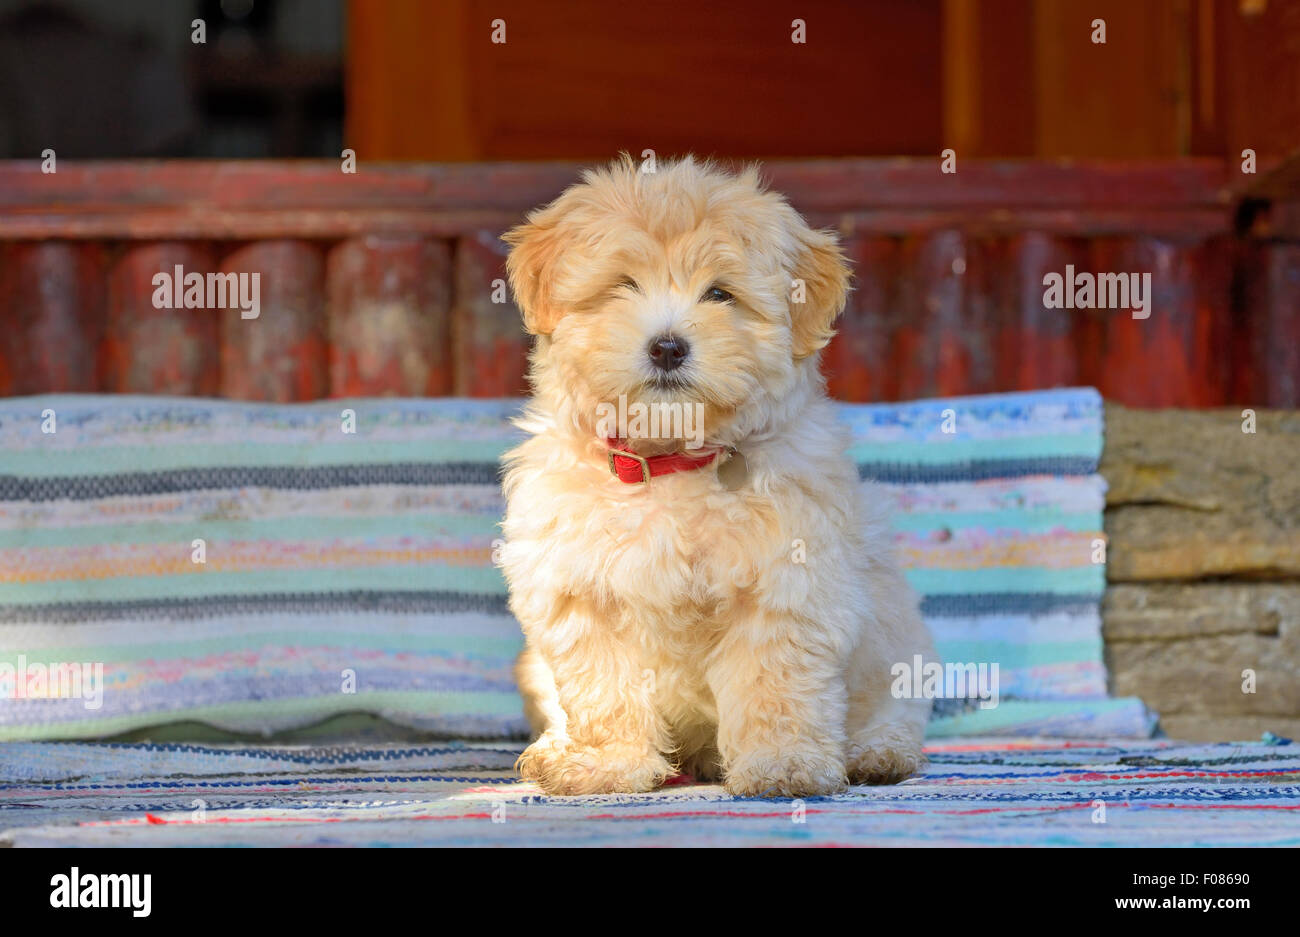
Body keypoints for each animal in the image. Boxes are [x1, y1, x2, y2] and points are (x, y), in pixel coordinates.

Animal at [496, 155, 935, 795]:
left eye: (721, 294)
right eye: (622, 285)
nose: (667, 346)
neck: (669, 461)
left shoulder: (785, 585)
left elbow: (775, 683)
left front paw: (783, 763)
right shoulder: (579, 592)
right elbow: (603, 689)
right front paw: (607, 765)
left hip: (894, 639)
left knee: (894, 707)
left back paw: (876, 752)